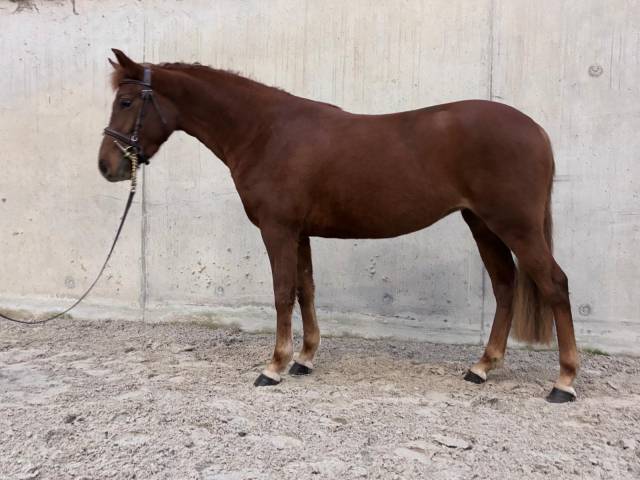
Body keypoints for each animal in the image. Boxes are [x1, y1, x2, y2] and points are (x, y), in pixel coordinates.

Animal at [99, 49, 578, 403]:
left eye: (126, 102)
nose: (107, 166)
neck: (265, 132)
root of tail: (537, 131)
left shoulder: (277, 229)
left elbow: (282, 293)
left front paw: (274, 366)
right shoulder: (300, 232)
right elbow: (305, 290)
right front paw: (304, 359)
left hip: (515, 226)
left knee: (554, 283)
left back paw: (564, 381)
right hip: (482, 224)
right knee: (504, 285)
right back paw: (482, 367)